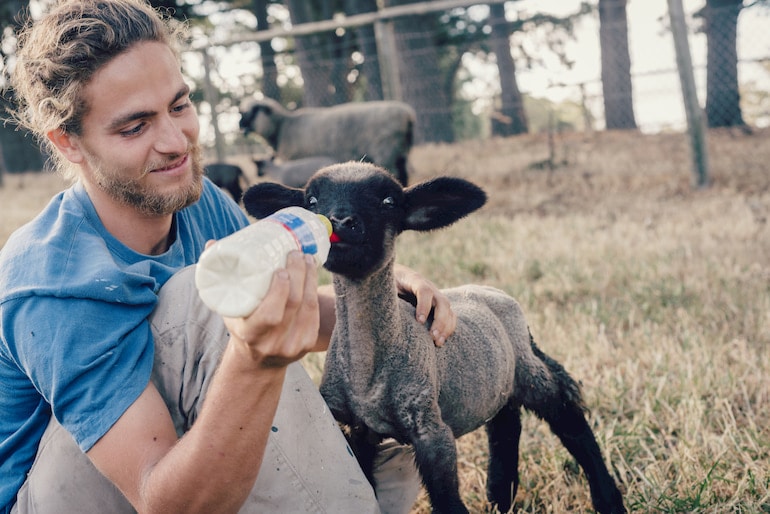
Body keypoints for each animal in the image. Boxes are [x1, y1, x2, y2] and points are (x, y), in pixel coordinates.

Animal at [238, 97, 414, 185]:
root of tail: (407, 114)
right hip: (401, 151)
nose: (240, 125)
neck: (282, 126)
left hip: (386, 150)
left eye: (255, 110)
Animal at [243, 161, 628, 512]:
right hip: (495, 379)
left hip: (528, 368)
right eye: (311, 201)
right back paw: (500, 496)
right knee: (505, 424)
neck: (369, 373)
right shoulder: (357, 431)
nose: (340, 222)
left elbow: (447, 501)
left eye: (388, 201)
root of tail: (493, 292)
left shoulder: (431, 431)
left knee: (569, 419)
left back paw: (607, 499)